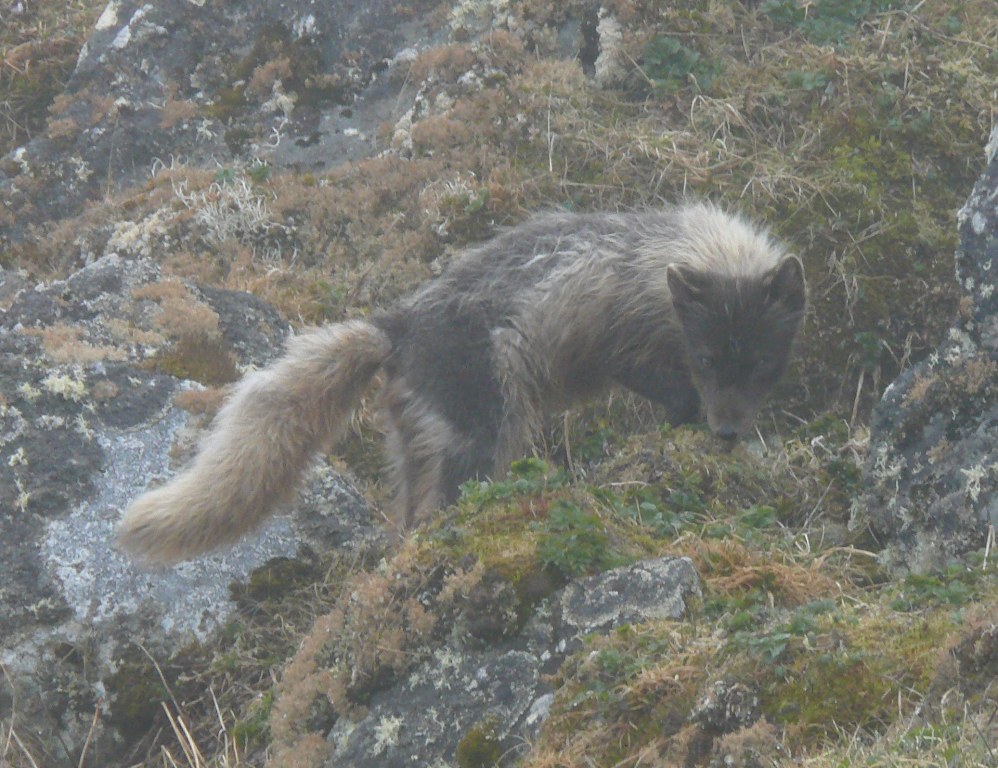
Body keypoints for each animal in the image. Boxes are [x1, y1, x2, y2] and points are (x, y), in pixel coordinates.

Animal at [119, 204, 804, 564]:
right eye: (708, 357)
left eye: (764, 364)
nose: (728, 432)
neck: (661, 254)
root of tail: (395, 327)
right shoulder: (629, 344)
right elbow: (664, 385)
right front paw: (684, 420)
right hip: (482, 422)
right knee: (443, 502)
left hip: (415, 439)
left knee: (409, 512)